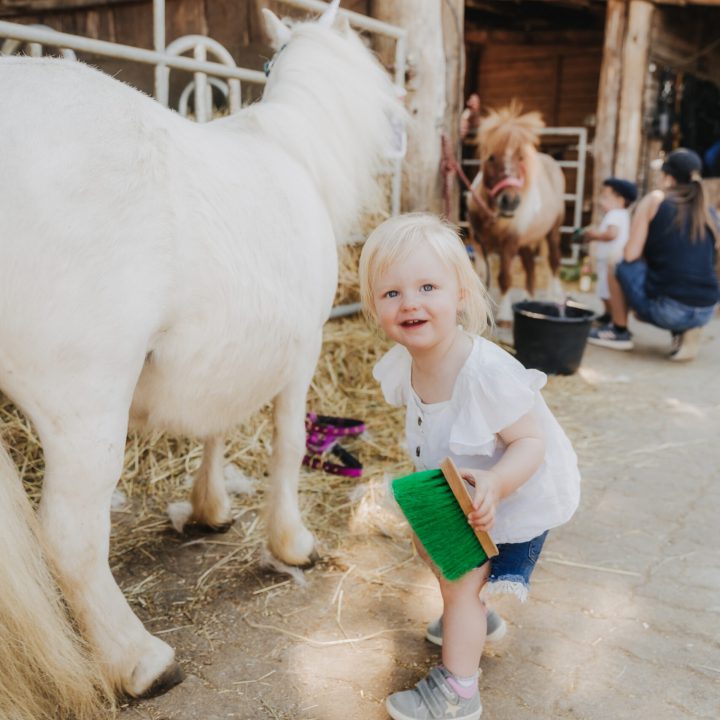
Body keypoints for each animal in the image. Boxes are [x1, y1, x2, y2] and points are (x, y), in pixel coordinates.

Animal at [0, 2, 400, 716]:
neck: (288, 150)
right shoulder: (303, 348)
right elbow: (286, 443)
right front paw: (292, 543)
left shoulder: (232, 354)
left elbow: (217, 424)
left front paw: (210, 509)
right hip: (84, 405)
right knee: (71, 540)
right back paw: (140, 662)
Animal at [470, 103, 564, 320]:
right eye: (491, 157)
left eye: (520, 158)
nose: (510, 201)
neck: (491, 216)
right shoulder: (479, 245)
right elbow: (481, 277)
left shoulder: (509, 244)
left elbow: (504, 277)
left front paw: (504, 315)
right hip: (526, 241)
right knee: (530, 266)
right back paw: (528, 300)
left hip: (552, 232)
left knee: (554, 261)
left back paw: (554, 297)